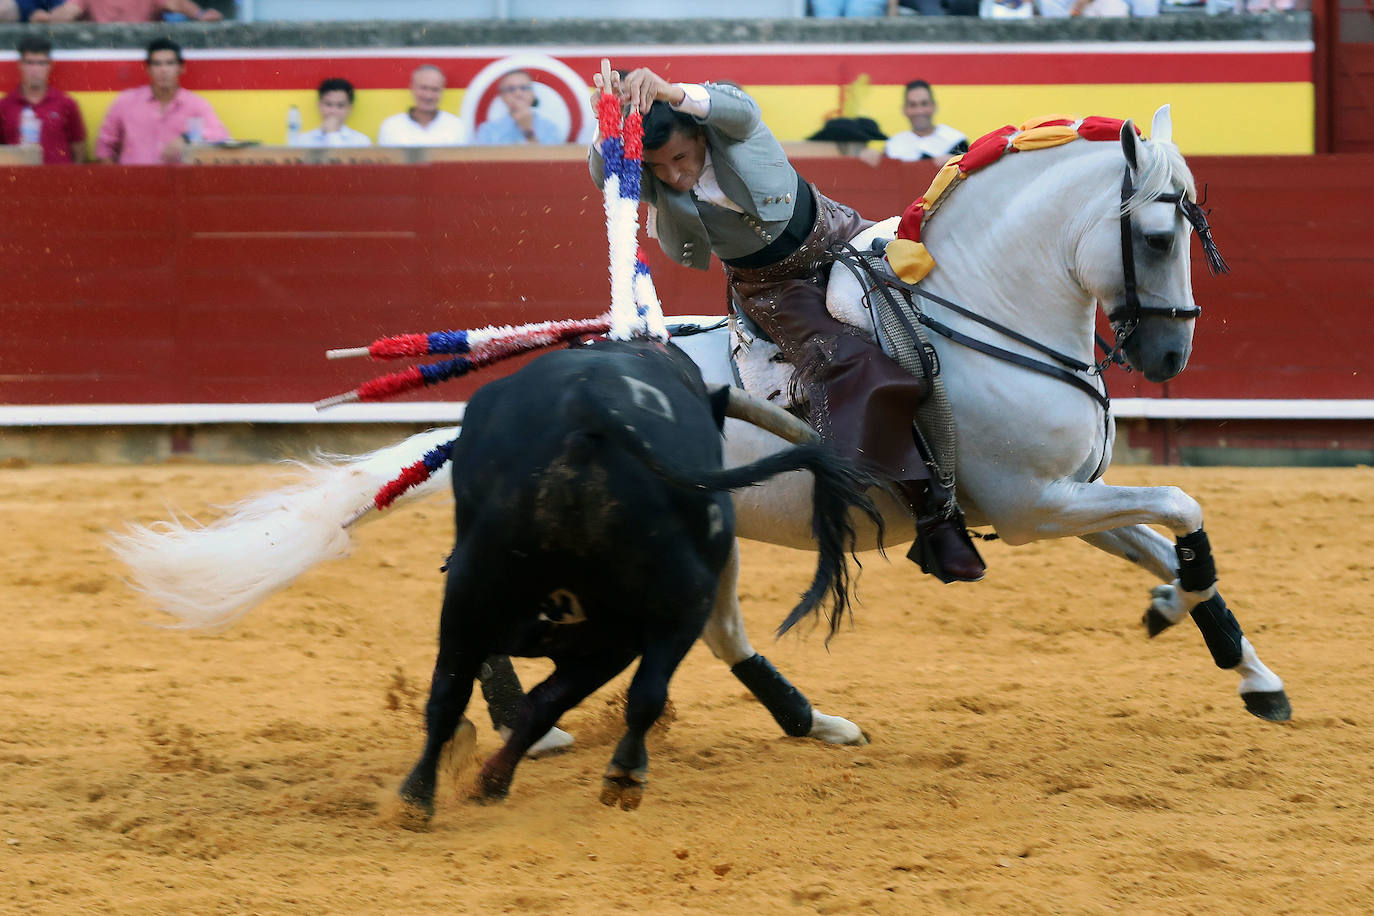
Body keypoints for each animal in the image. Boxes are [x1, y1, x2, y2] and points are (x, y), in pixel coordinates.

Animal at [115, 109, 1286, 752]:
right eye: (1156, 232)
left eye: (1195, 227)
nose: (1168, 356)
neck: (982, 307)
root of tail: (511, 405)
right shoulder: (1034, 505)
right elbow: (1185, 503)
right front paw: (1189, 618)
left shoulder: (1070, 501)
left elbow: (1172, 541)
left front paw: (1234, 659)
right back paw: (538, 727)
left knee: (716, 631)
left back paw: (808, 722)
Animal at [398, 340, 879, 813]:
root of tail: (586, 409)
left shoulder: (597, 642)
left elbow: (539, 704)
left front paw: (493, 780)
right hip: (674, 599)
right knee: (643, 689)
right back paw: (623, 773)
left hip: (477, 590)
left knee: (452, 690)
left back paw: (418, 796)